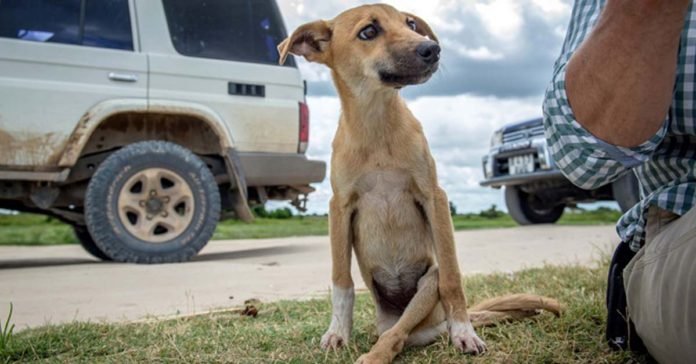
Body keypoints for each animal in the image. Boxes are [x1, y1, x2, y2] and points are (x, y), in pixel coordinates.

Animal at [278, 3, 560, 364]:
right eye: (368, 31)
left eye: (410, 24)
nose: (432, 49)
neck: (377, 126)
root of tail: (432, 326)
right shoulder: (339, 206)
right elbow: (341, 280)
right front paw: (337, 333)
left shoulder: (433, 197)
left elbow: (453, 277)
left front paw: (466, 332)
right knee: (394, 332)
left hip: (428, 285)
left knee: (400, 333)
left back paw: (393, 349)